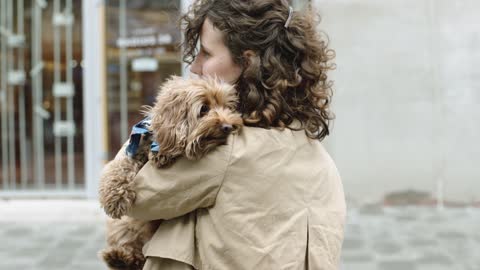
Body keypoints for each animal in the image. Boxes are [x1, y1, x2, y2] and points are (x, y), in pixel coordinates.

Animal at [97, 76, 242, 270]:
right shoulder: (131, 152)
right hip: (123, 226)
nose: (229, 126)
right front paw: (114, 198)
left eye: (227, 107)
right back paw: (119, 257)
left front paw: (162, 153)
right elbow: (118, 169)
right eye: (204, 108)